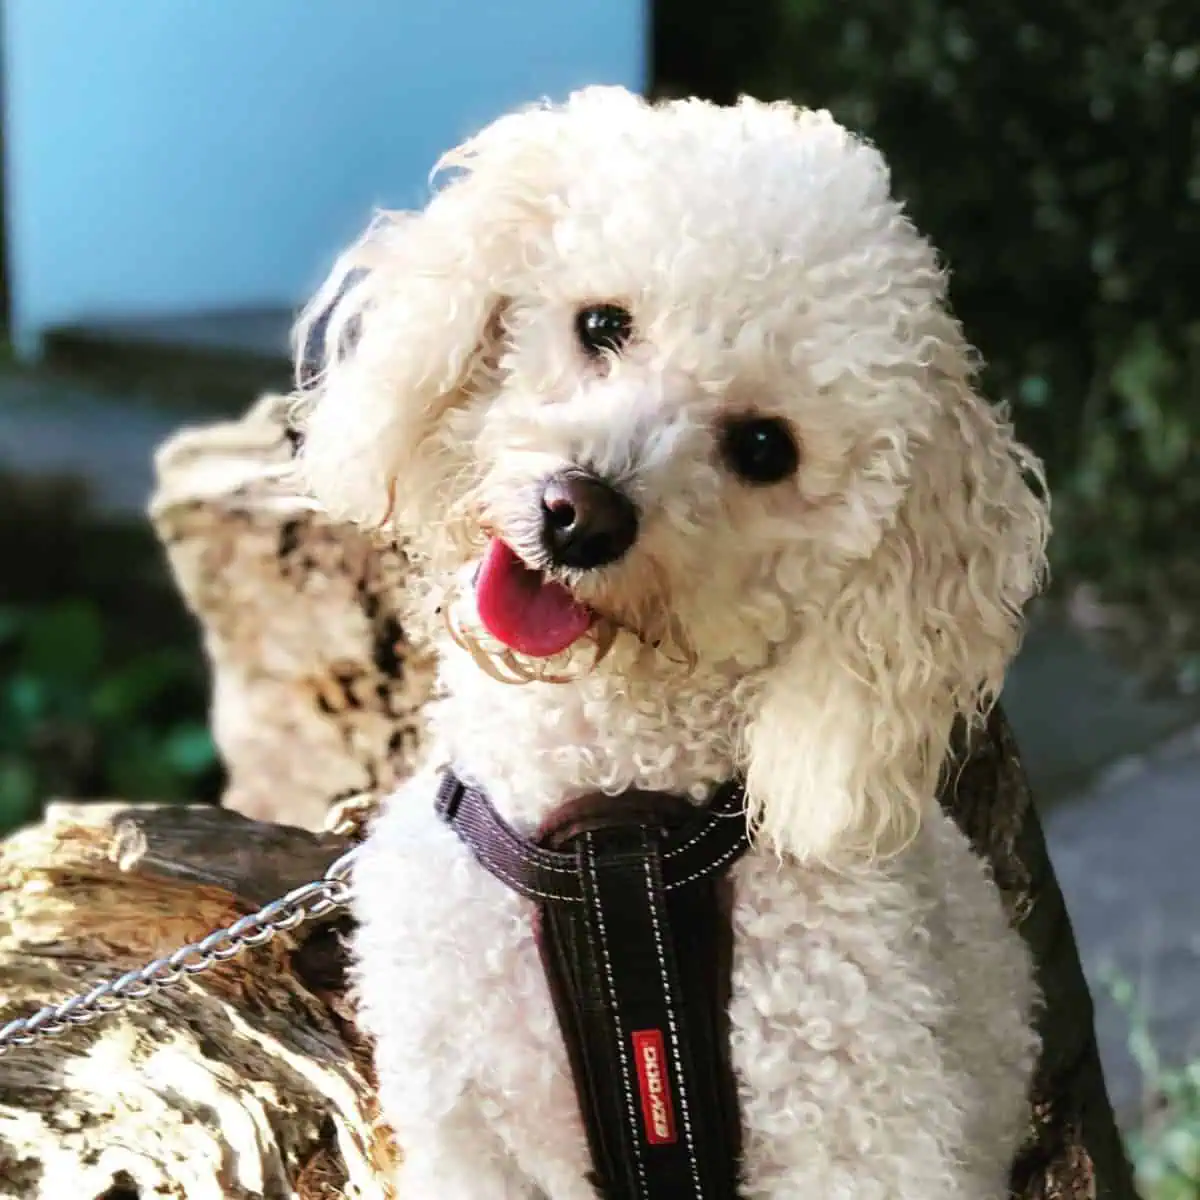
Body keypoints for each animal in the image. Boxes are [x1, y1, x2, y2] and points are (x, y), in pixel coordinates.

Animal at [297, 87, 1051, 1200]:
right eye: (602, 325)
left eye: (764, 448)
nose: (580, 512)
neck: (612, 834)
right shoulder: (469, 1140)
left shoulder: (863, 1141)